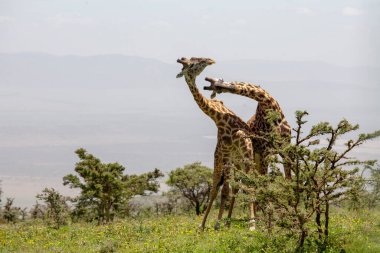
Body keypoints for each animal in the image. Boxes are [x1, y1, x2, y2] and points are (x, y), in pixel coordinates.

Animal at [176, 57, 255, 231]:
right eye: (192, 64)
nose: (209, 60)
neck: (218, 116)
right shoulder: (226, 152)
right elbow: (225, 190)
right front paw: (218, 223)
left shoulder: (246, 153)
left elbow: (245, 185)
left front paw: (252, 224)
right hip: (220, 160)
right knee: (215, 189)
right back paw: (205, 225)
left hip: (237, 161)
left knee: (233, 186)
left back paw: (227, 222)